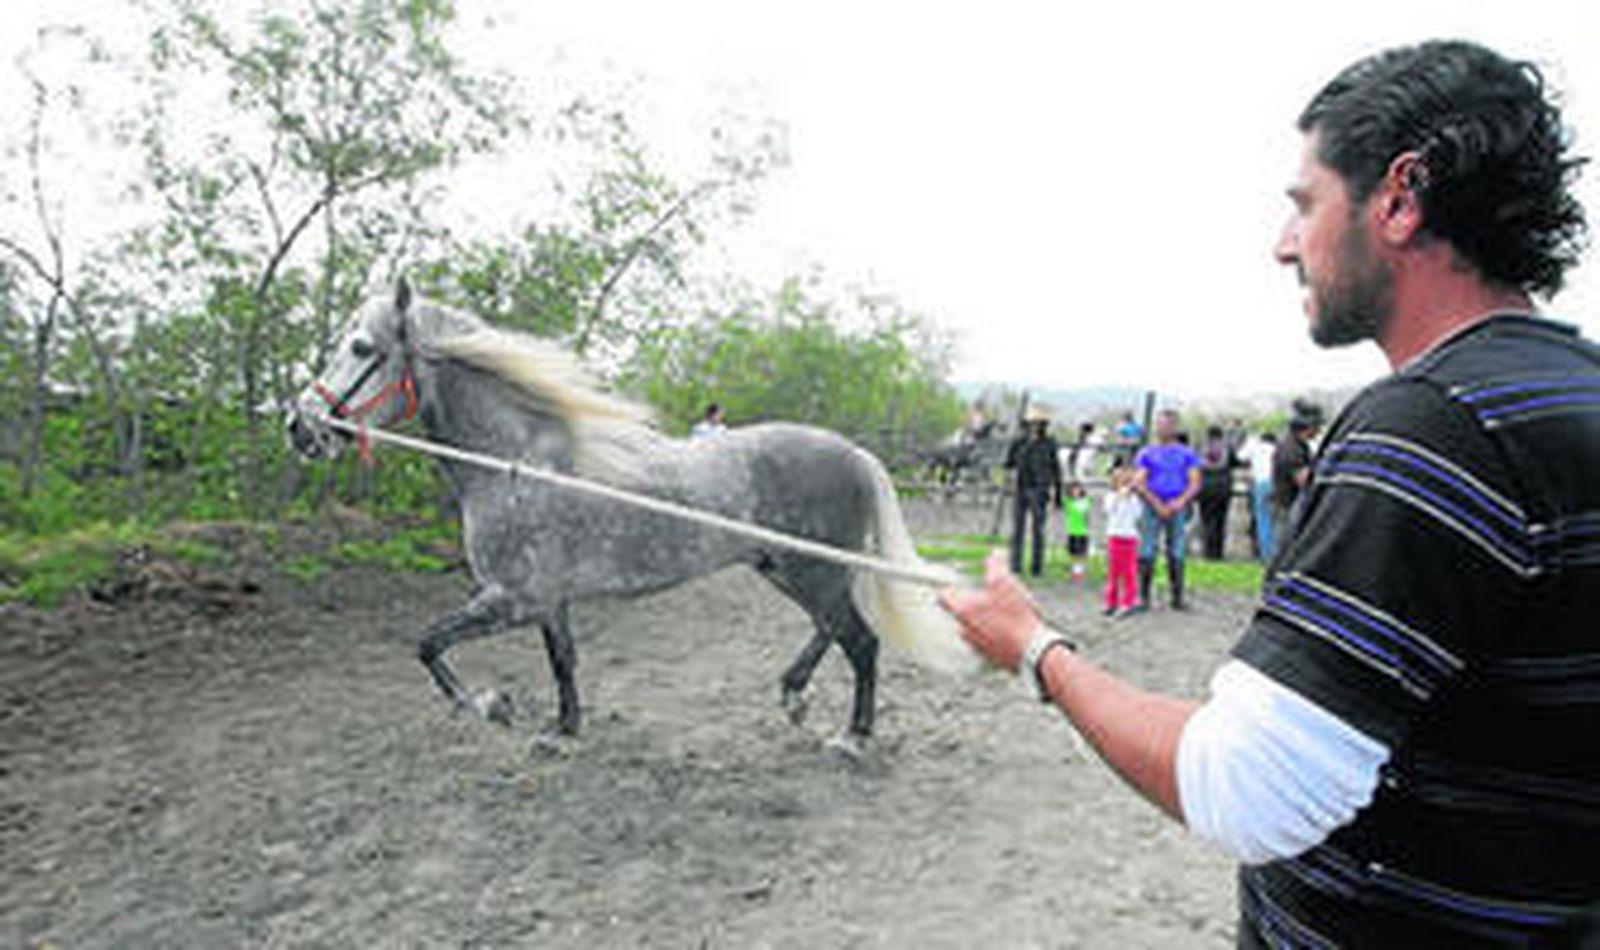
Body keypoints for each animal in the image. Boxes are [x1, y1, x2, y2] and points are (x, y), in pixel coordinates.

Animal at [286, 280, 977, 756]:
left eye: (361, 348)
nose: (299, 427)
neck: (516, 461)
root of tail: (856, 453)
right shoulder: (547, 601)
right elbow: (561, 661)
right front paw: (562, 730)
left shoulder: (510, 598)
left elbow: (427, 644)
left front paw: (490, 705)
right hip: (786, 569)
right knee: (832, 631)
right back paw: (793, 694)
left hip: (814, 572)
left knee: (860, 641)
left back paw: (852, 737)